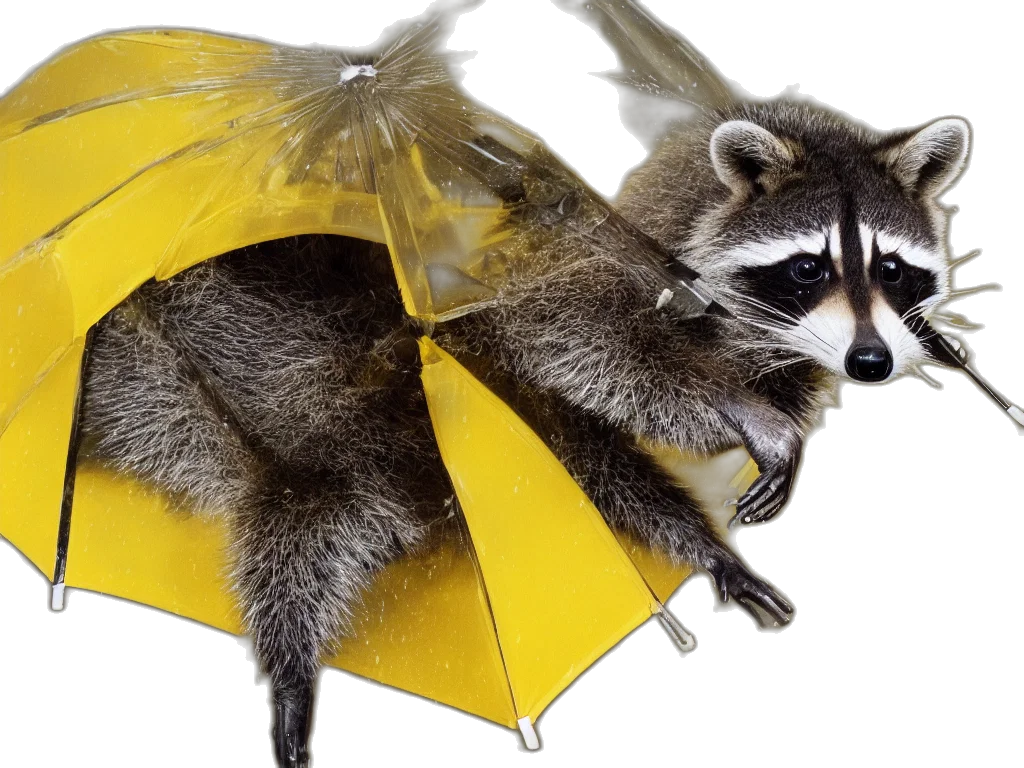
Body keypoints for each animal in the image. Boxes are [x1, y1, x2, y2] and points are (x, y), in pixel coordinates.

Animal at [75, 34, 971, 768]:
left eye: (892, 269)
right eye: (809, 267)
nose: (870, 361)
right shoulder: (544, 313)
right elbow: (577, 362)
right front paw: (728, 447)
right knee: (296, 535)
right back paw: (290, 669)